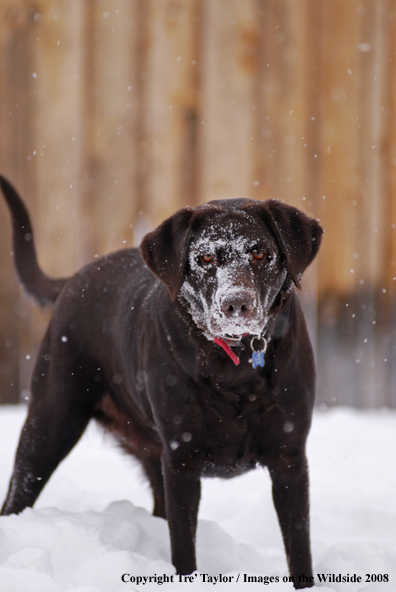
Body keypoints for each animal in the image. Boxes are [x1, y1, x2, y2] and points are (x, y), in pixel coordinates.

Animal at [0, 176, 322, 588]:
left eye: (261, 254)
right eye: (205, 259)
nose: (236, 304)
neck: (234, 367)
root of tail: (74, 279)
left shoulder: (290, 458)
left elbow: (299, 546)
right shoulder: (181, 460)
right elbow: (183, 546)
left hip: (149, 452)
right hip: (51, 421)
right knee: (18, 492)